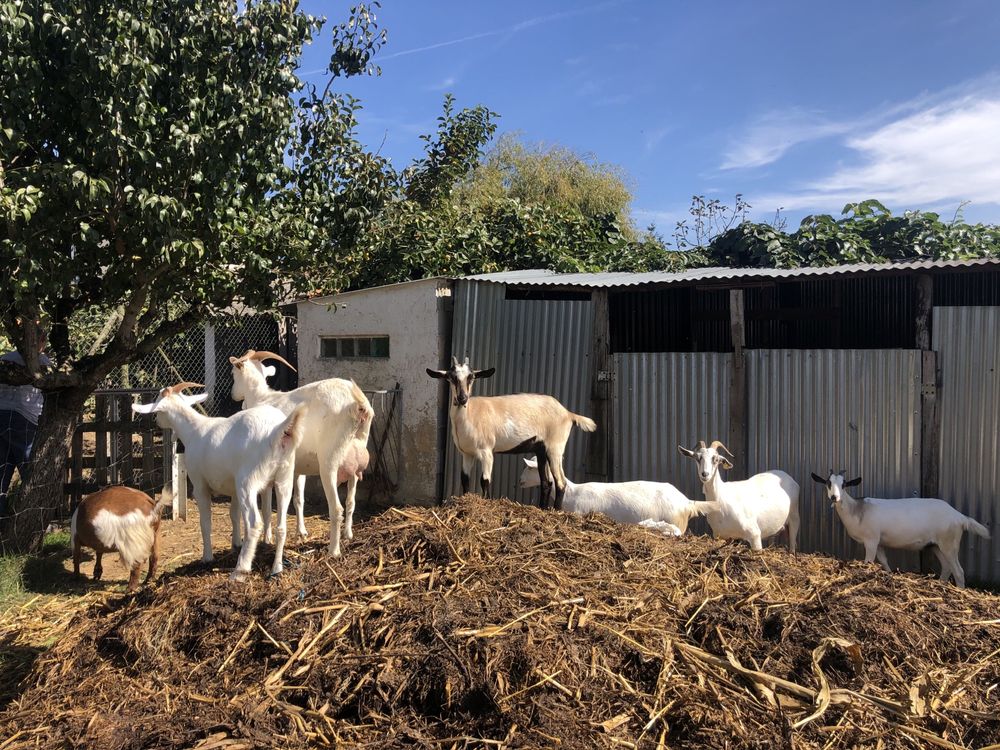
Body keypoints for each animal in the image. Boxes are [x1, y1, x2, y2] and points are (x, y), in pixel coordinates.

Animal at [131, 384, 306, 580]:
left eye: (157, 406)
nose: (157, 422)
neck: (193, 430)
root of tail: (277, 432)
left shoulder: (200, 485)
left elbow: (206, 522)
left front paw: (207, 557)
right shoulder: (233, 488)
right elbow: (234, 515)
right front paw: (235, 544)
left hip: (247, 482)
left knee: (254, 523)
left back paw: (240, 570)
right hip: (284, 478)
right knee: (281, 526)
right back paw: (277, 568)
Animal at [229, 352, 374, 560]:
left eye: (233, 374)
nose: (233, 395)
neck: (261, 397)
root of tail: (359, 405)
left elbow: (267, 508)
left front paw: (267, 539)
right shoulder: (298, 468)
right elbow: (298, 500)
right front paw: (302, 532)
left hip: (329, 463)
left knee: (336, 508)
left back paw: (334, 550)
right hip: (355, 462)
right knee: (351, 500)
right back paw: (348, 535)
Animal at [428, 358, 596, 512]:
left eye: (472, 377)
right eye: (451, 377)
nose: (462, 398)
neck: (470, 414)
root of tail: (568, 413)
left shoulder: (487, 452)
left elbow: (485, 480)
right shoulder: (467, 454)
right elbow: (465, 479)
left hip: (555, 447)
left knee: (560, 482)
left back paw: (557, 511)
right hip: (541, 449)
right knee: (547, 482)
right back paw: (542, 509)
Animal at [812, 472, 992, 592]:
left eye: (844, 484)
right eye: (828, 483)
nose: (834, 498)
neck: (857, 510)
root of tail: (960, 516)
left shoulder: (871, 540)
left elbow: (868, 562)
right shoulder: (879, 542)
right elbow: (884, 562)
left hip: (949, 542)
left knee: (959, 571)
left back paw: (960, 591)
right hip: (935, 545)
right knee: (947, 567)